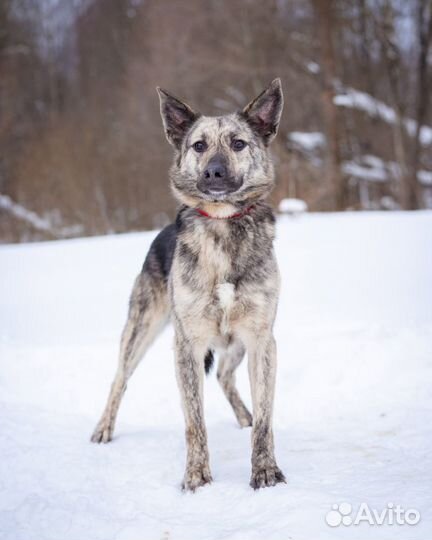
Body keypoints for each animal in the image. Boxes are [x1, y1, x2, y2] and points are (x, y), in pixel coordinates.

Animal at [90, 81, 286, 494]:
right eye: (198, 145)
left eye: (238, 143)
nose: (214, 172)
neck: (222, 224)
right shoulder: (187, 346)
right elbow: (195, 421)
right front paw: (197, 476)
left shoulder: (262, 340)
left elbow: (265, 419)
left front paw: (265, 471)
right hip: (141, 331)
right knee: (119, 379)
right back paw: (104, 429)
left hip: (237, 344)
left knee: (226, 376)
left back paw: (243, 416)